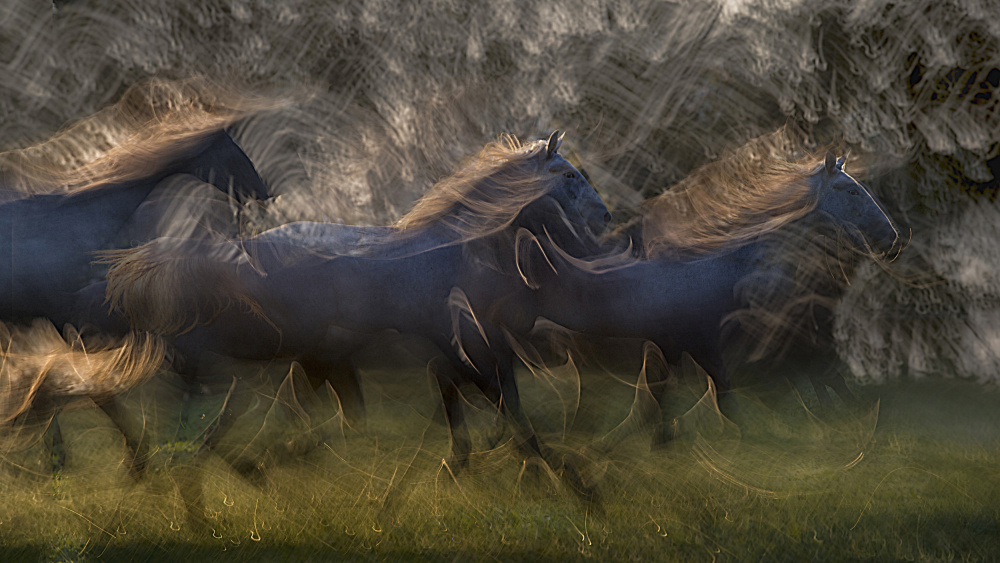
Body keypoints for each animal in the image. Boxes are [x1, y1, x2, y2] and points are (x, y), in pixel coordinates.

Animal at [100, 132, 611, 493]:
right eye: (569, 175)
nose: (606, 218)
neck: (457, 251)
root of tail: (243, 250)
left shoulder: (456, 355)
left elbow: (477, 415)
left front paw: (464, 469)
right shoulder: (469, 351)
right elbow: (512, 419)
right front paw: (574, 485)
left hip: (300, 355)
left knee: (250, 406)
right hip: (284, 351)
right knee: (228, 398)